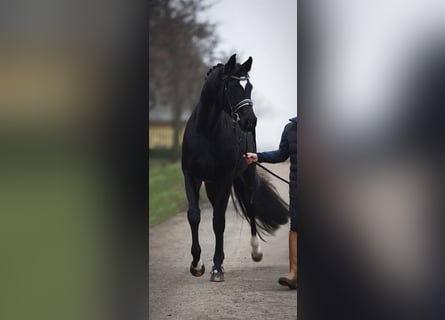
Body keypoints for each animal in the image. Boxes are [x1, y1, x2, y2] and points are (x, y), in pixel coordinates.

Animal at [180, 53, 288, 282]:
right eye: (231, 85)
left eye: (250, 86)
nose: (250, 121)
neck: (206, 132)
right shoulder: (191, 176)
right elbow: (194, 216)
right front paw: (197, 265)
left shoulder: (225, 177)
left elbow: (219, 221)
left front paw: (216, 268)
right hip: (211, 185)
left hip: (246, 175)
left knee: (250, 206)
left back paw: (255, 251)